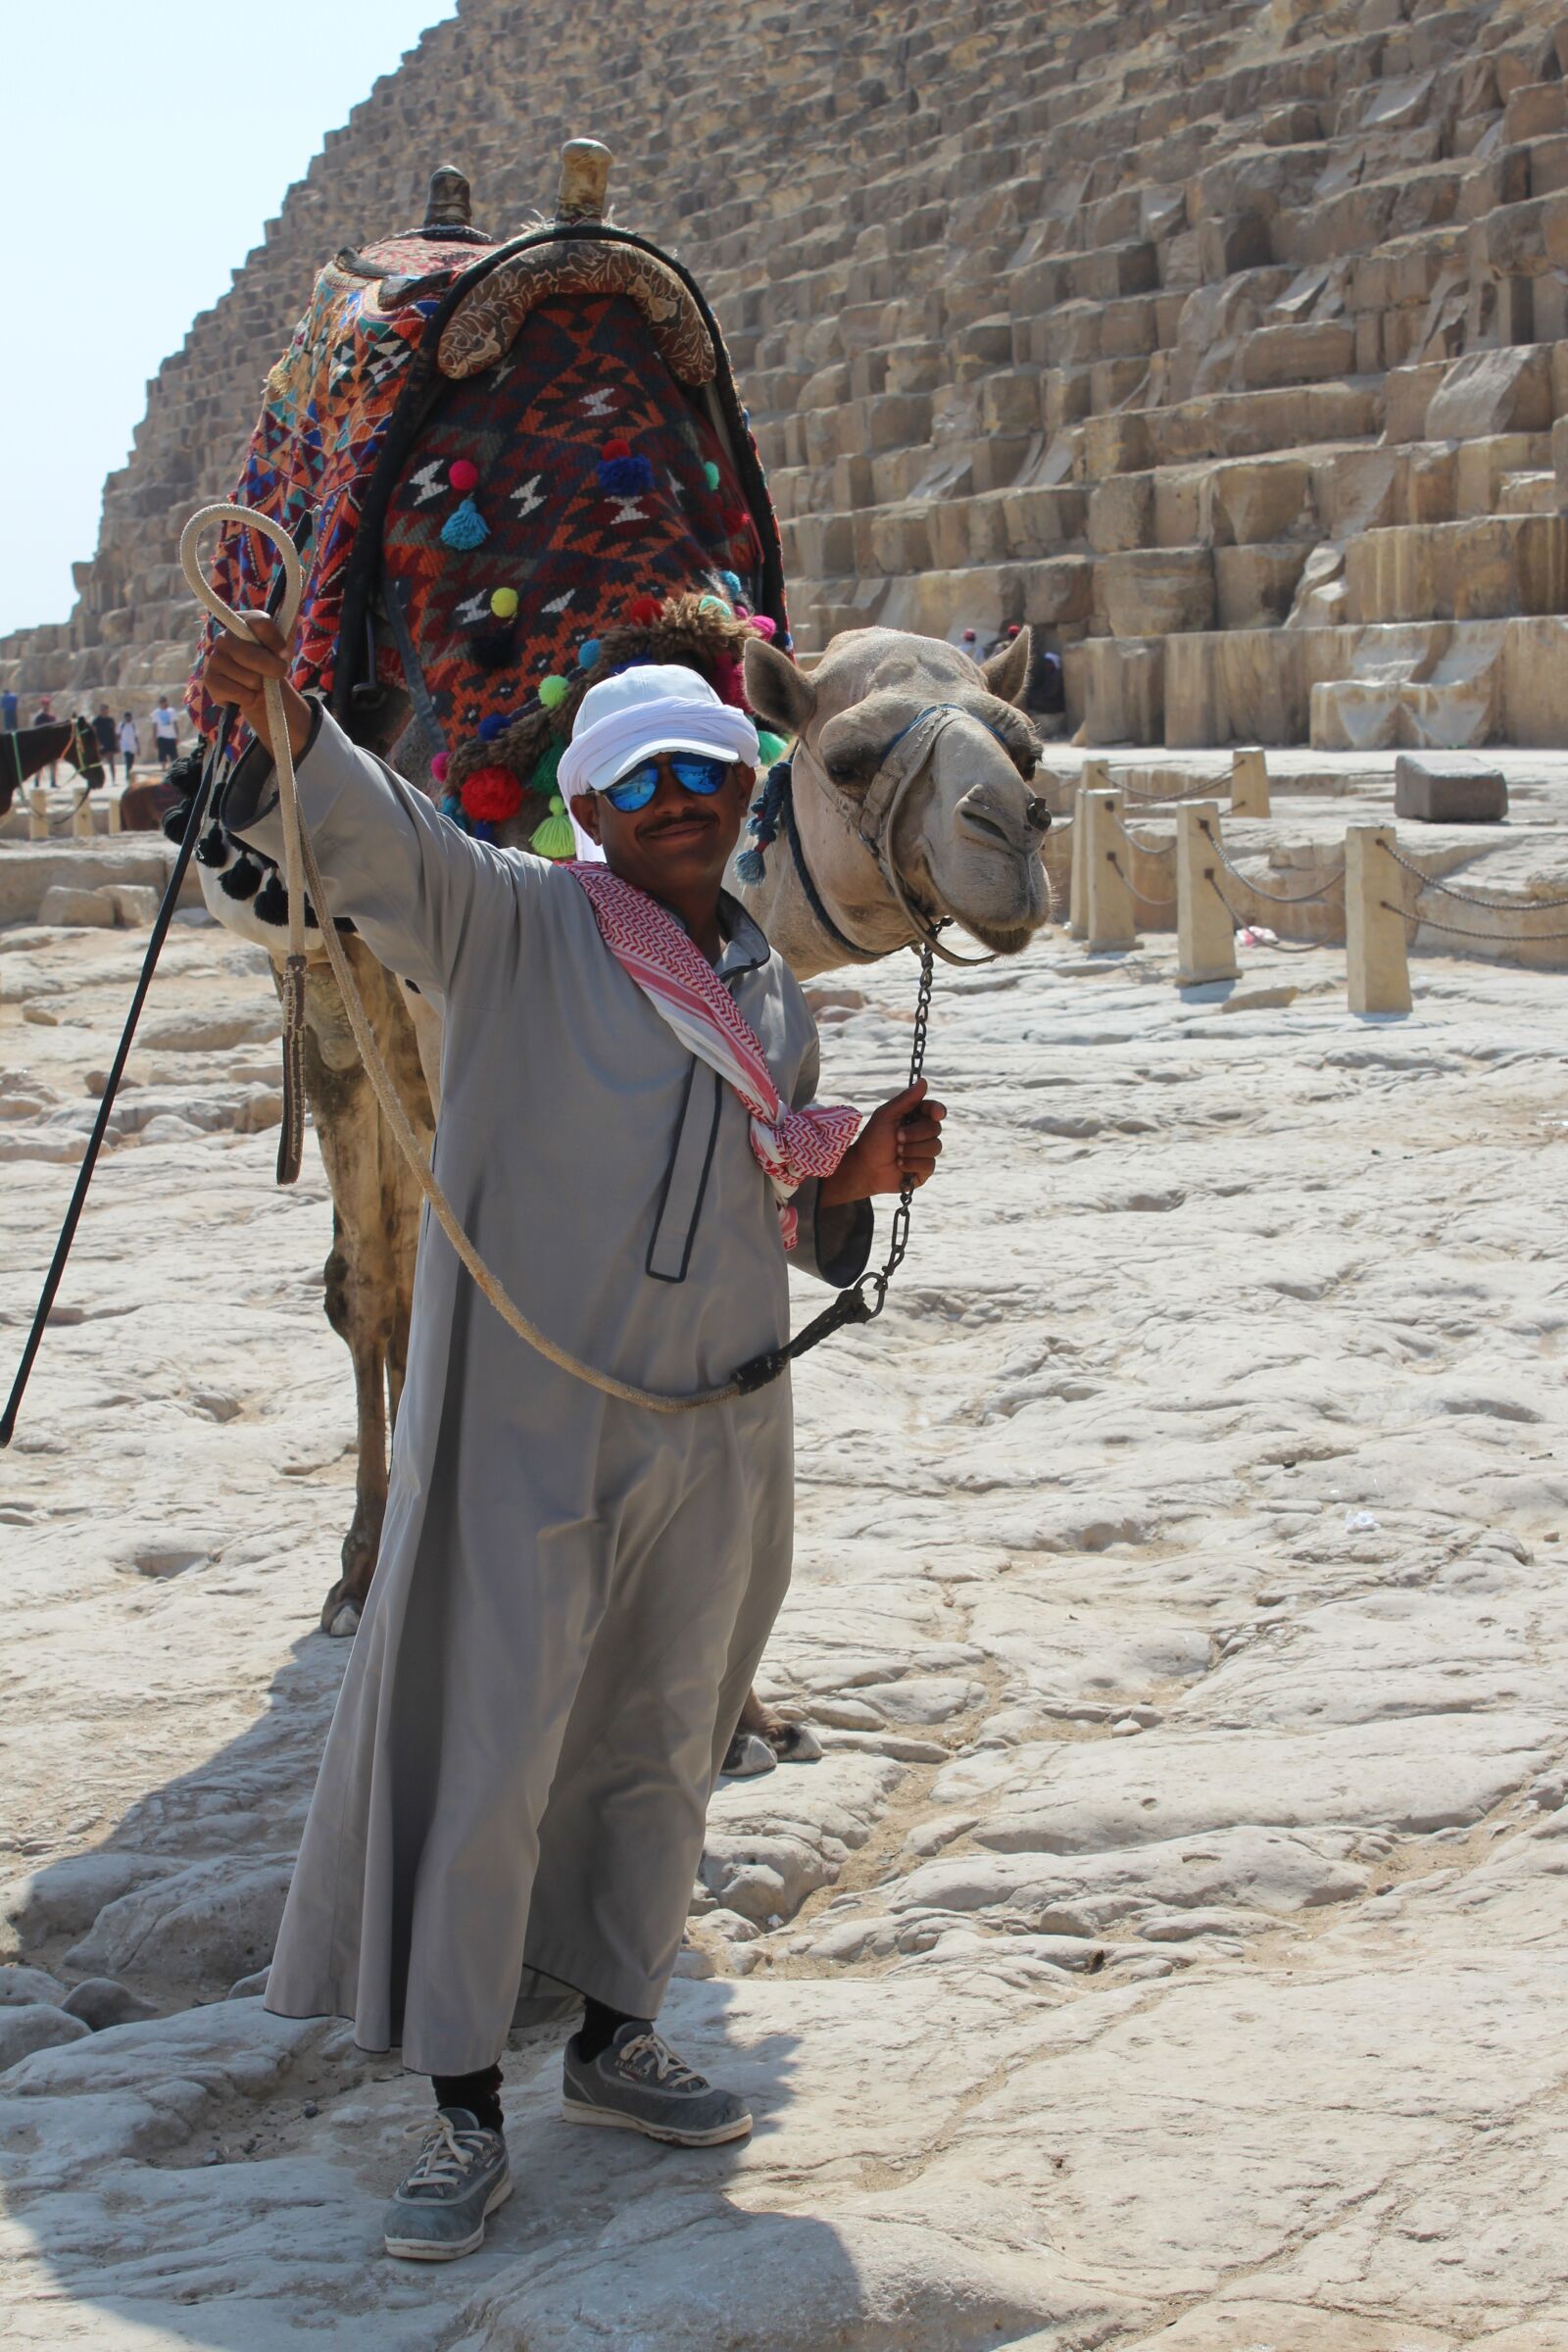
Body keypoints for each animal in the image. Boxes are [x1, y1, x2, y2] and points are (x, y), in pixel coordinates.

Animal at [180, 146, 1053, 1775]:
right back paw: (362, 1571)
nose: (1012, 836)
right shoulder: (426, 963)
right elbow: (432, 1265)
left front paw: (747, 1712)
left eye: (1027, 742)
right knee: (367, 1275)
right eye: (850, 755)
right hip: (319, 978)